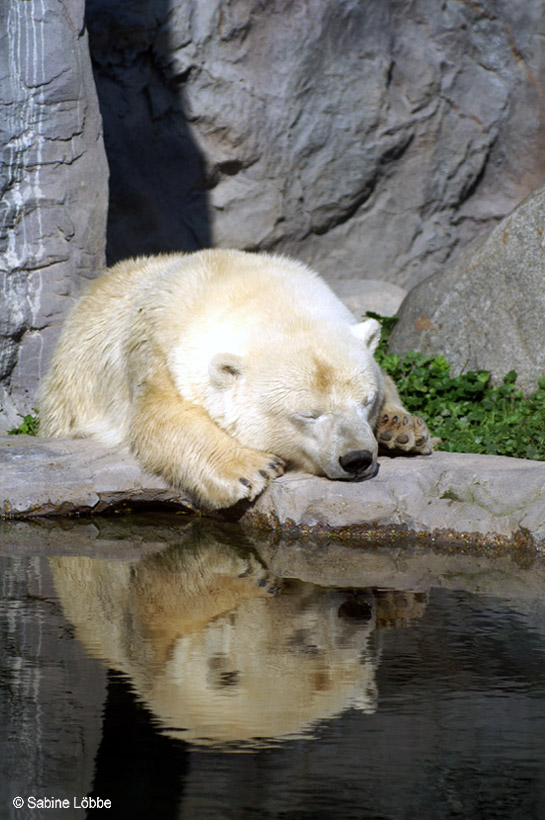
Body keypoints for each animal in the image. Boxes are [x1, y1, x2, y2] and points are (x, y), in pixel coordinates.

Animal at [39, 247, 430, 510]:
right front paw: (253, 468)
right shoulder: (154, 350)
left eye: (365, 402)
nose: (357, 459)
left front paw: (400, 428)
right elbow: (158, 420)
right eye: (308, 415)